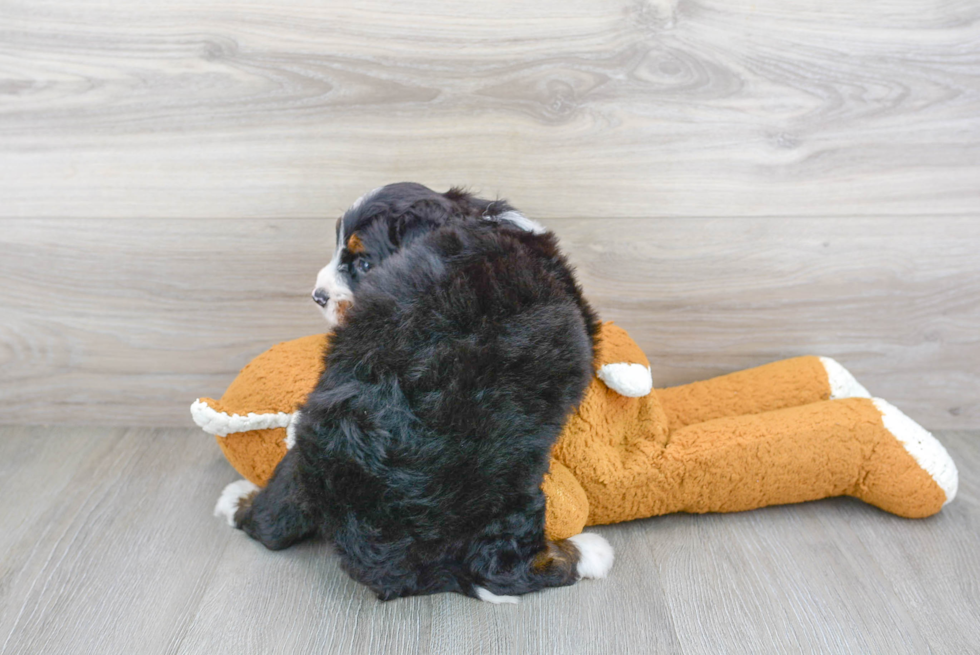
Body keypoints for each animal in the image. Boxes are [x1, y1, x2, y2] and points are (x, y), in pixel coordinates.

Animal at [216, 182, 612, 604]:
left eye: (364, 265)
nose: (318, 296)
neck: (475, 219)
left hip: (306, 446)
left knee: (272, 519)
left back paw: (239, 499)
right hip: (506, 483)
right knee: (504, 570)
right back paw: (587, 553)